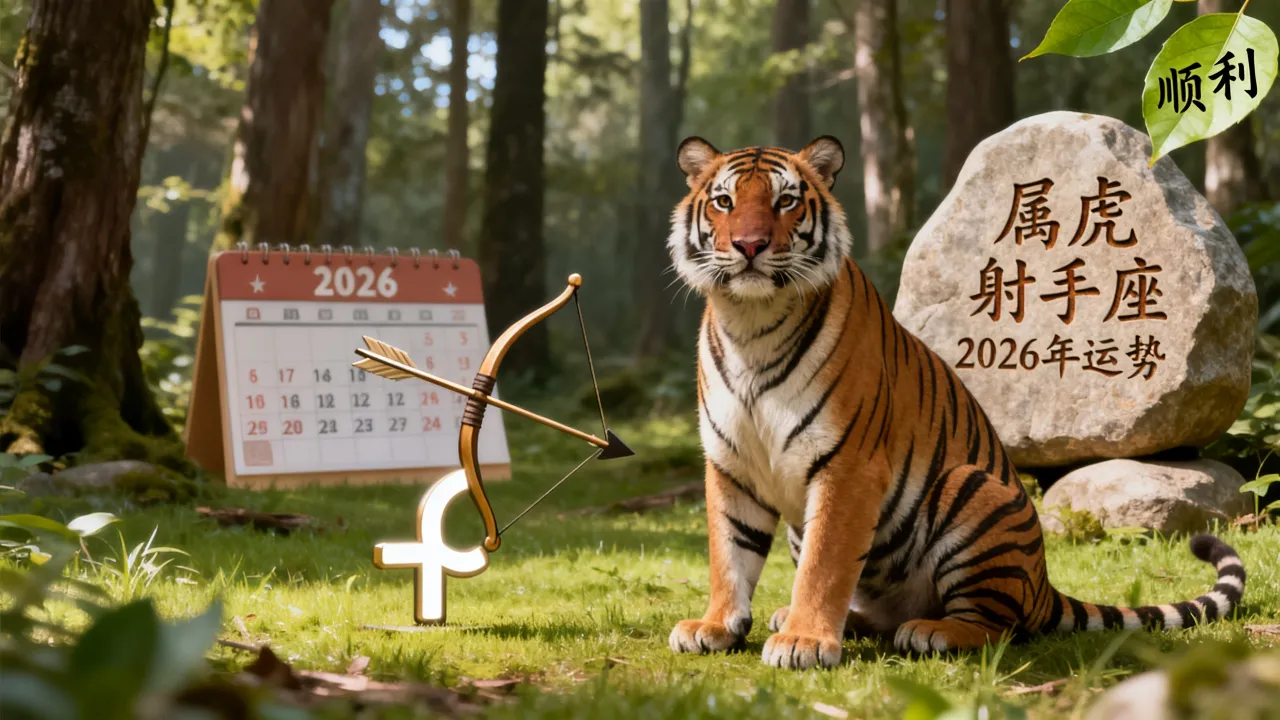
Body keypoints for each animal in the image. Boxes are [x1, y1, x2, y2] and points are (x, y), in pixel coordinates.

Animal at [664, 135, 1248, 670]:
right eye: (724, 202)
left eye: (785, 201)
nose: (750, 245)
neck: (752, 324)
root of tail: (1043, 585)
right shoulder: (731, 464)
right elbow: (728, 552)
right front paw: (716, 626)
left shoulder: (847, 466)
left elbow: (824, 564)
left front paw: (804, 641)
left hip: (968, 489)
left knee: (997, 624)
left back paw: (931, 631)